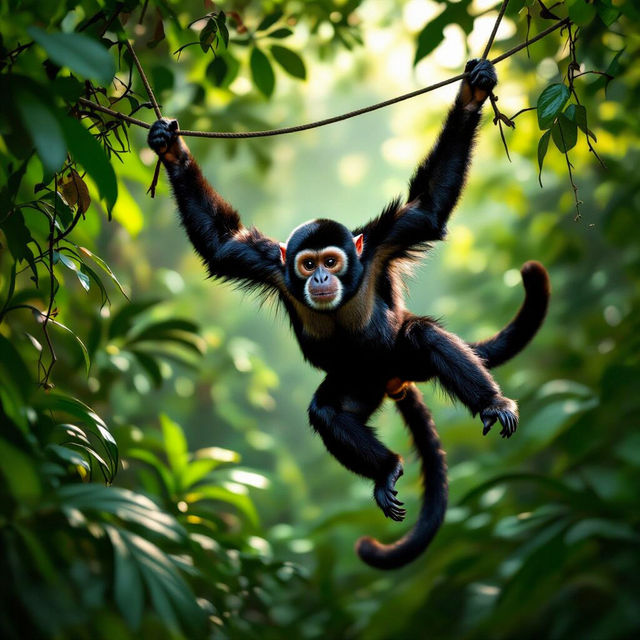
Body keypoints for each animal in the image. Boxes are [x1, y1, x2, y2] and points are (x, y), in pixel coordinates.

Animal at [147, 58, 550, 569]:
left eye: (332, 260)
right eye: (307, 264)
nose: (321, 277)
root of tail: (390, 379)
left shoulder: (379, 246)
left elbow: (428, 208)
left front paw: (472, 93)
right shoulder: (272, 265)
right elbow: (221, 246)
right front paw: (170, 147)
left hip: (398, 356)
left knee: (421, 336)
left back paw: (490, 403)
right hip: (359, 384)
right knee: (327, 411)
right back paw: (387, 469)